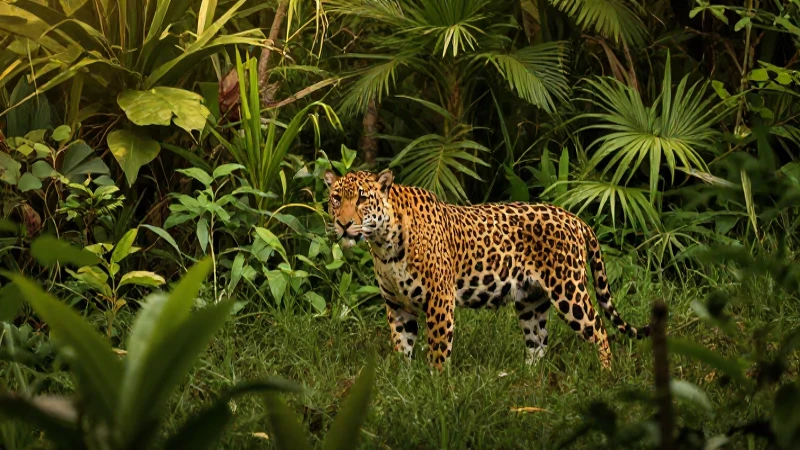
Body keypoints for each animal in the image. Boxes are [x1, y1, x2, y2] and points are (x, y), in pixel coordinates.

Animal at [324, 169, 650, 371]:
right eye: (336, 199)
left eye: (363, 198)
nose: (344, 224)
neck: (384, 244)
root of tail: (575, 218)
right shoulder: (396, 305)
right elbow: (402, 347)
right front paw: (405, 384)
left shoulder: (439, 298)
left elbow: (438, 348)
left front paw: (436, 388)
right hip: (531, 301)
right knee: (538, 343)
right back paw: (528, 381)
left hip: (568, 291)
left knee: (599, 331)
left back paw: (605, 376)